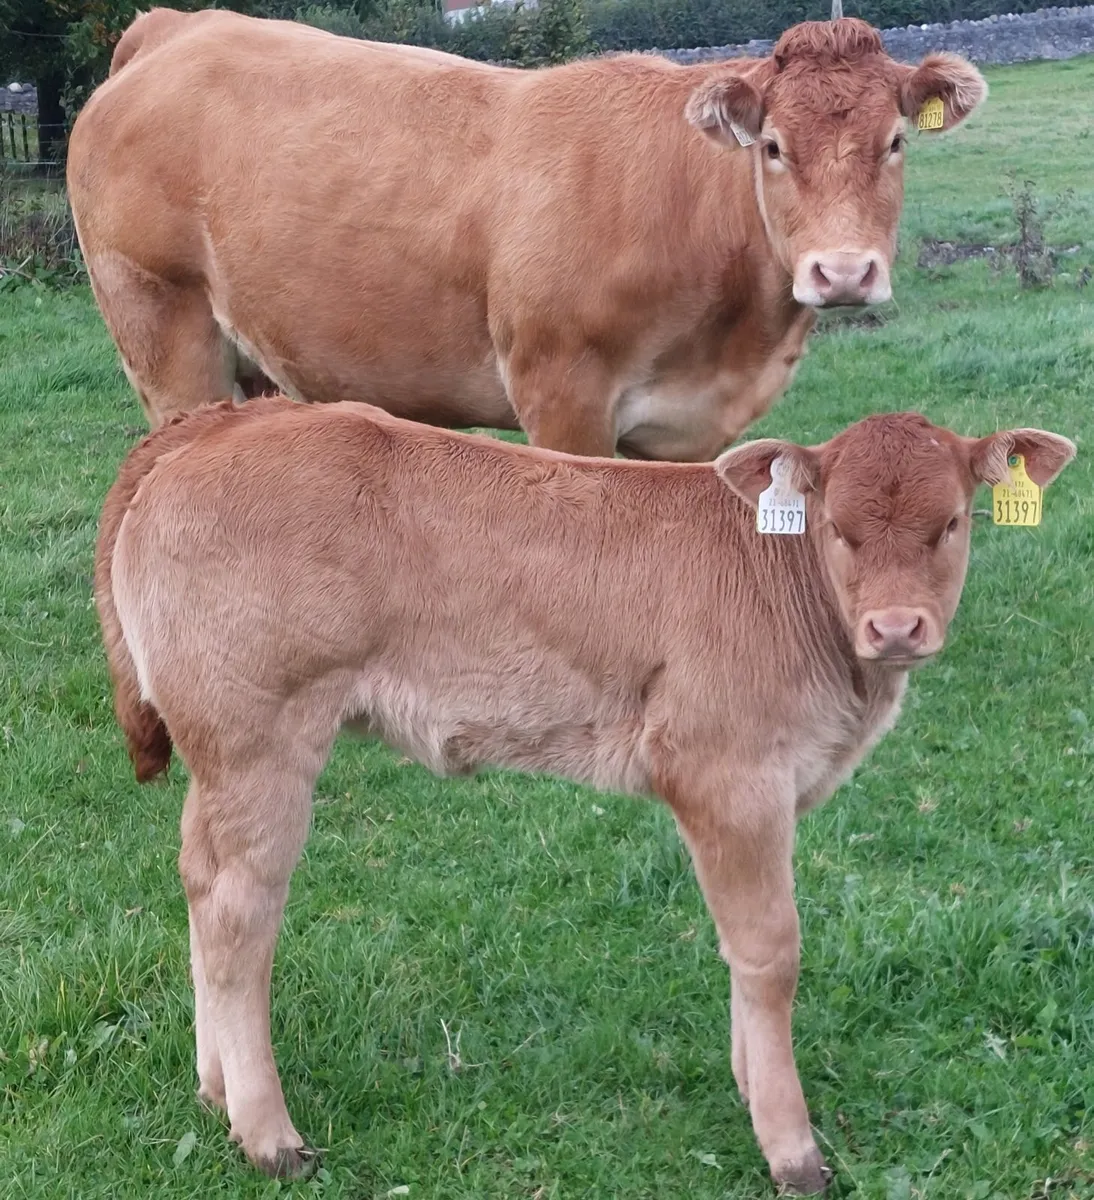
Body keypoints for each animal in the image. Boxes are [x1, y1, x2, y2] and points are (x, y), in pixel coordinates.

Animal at [68, 10, 986, 457]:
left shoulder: (685, 427)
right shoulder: (563, 393)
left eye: (895, 142)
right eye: (772, 147)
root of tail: (180, 27)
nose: (843, 273)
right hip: (162, 328)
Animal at [95, 396, 1074, 1192]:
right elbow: (770, 952)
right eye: (838, 528)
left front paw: (749, 1083)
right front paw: (791, 1147)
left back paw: (215, 1090)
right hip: (262, 737)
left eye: (953, 523)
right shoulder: (727, 774)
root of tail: (224, 422)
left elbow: (738, 949)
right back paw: (268, 1135)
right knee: (241, 913)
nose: (897, 627)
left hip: (221, 756)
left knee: (199, 882)